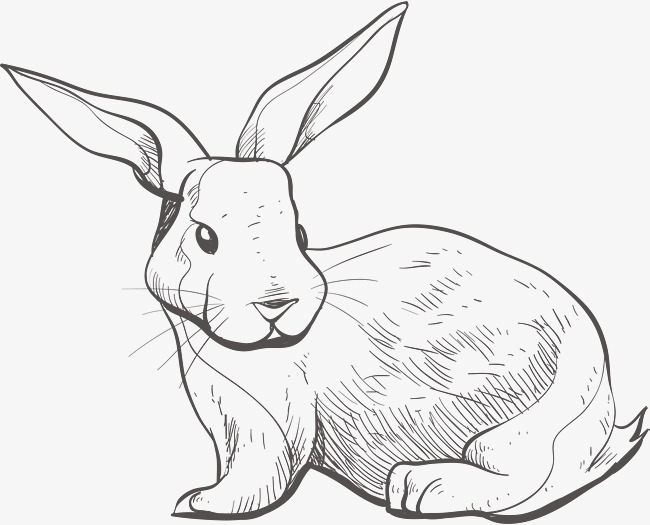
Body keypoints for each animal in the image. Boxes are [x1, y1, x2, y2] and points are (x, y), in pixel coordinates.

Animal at [3, 2, 647, 521]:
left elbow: (261, 478)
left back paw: (418, 487)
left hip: (517, 430)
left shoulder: (271, 424)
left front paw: (200, 503)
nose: (277, 304)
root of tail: (603, 399)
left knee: (522, 480)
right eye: (205, 236)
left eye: (299, 230)